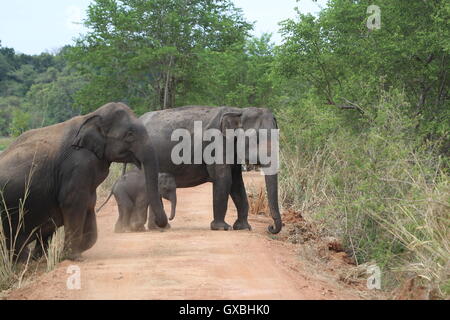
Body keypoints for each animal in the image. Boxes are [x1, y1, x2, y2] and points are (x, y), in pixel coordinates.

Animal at [0, 101, 168, 262]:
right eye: (130, 135)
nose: (162, 225)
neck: (92, 116)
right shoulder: (77, 165)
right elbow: (73, 203)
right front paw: (73, 257)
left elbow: (89, 205)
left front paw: (73, 252)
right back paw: (26, 261)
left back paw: (34, 259)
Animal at [141, 106, 282, 234]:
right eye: (256, 137)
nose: (271, 227)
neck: (238, 111)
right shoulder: (216, 144)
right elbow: (224, 179)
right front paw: (222, 228)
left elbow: (237, 183)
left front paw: (243, 228)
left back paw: (159, 227)